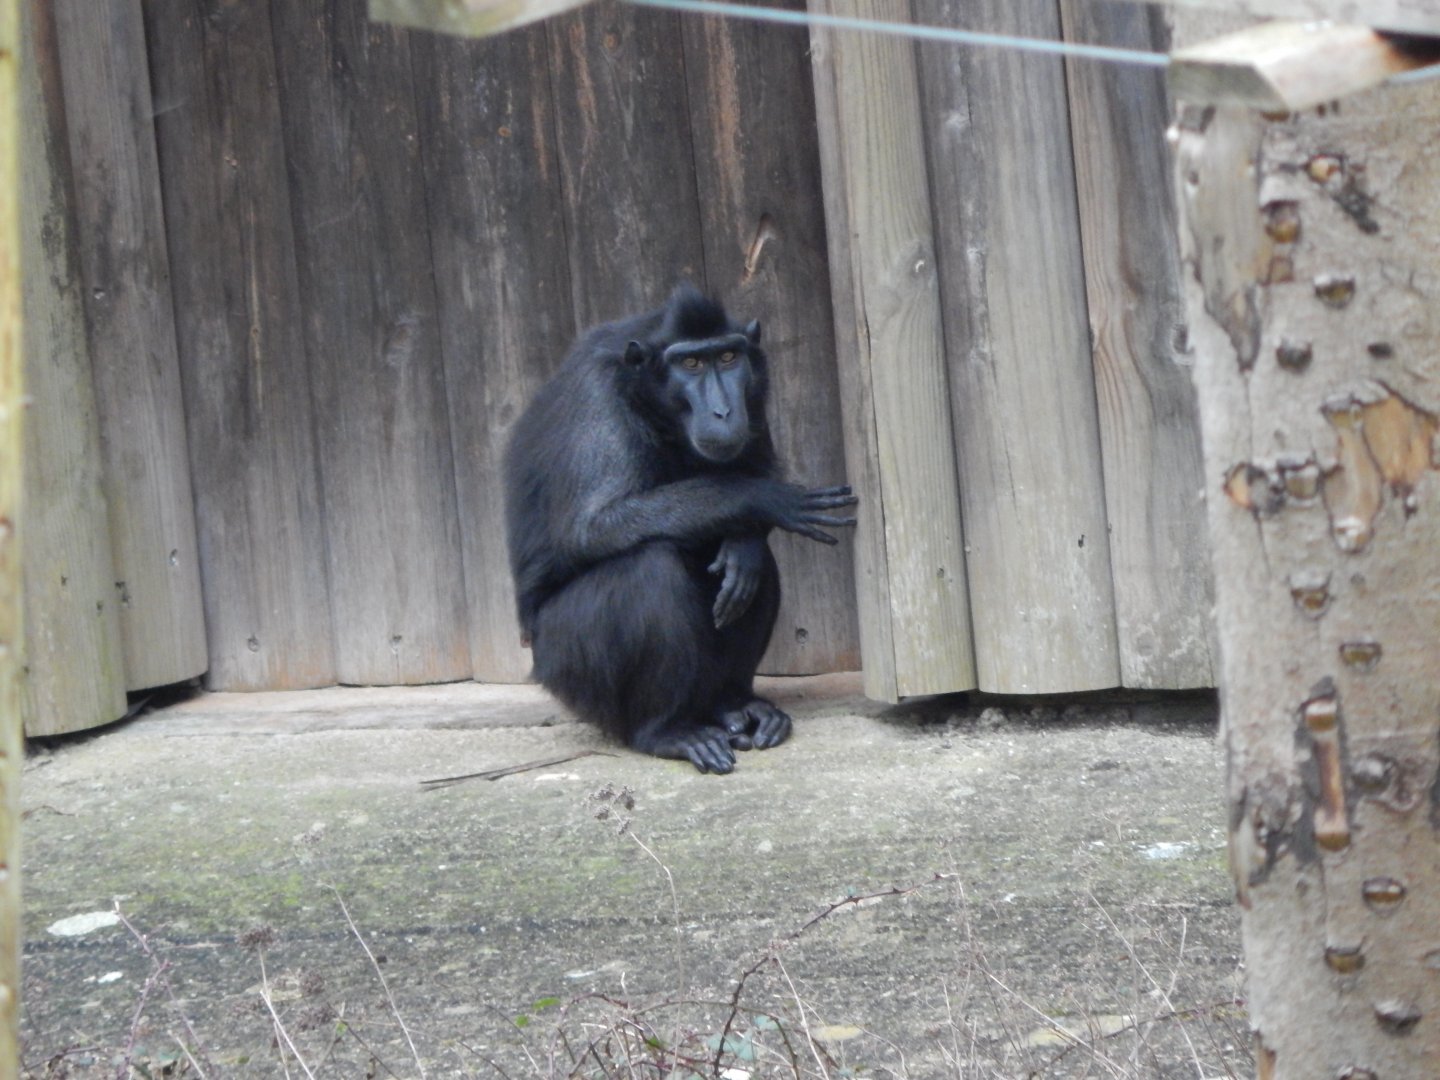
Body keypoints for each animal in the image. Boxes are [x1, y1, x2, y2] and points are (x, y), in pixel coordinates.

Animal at [503, 286, 857, 773]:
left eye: (727, 356)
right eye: (690, 364)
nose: (723, 410)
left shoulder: (756, 387)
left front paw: (745, 537)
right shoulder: (597, 395)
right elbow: (591, 525)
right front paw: (764, 498)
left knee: (752, 571)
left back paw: (733, 704)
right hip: (566, 665)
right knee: (650, 569)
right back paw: (664, 731)